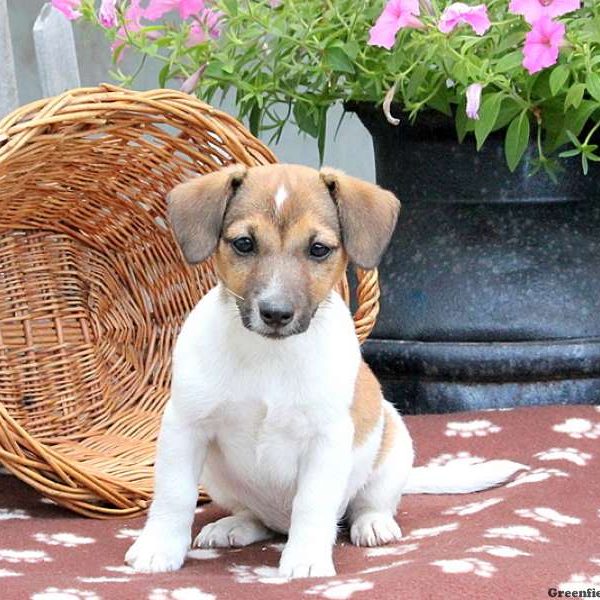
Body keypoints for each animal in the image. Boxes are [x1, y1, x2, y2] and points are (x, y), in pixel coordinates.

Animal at [126, 162, 524, 580]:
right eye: (244, 244)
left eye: (318, 249)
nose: (276, 313)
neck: (270, 356)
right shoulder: (185, 427)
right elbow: (174, 495)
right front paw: (159, 548)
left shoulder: (326, 440)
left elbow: (312, 504)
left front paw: (305, 559)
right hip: (218, 478)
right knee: (257, 518)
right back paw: (234, 526)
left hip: (394, 446)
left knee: (367, 504)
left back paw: (373, 524)